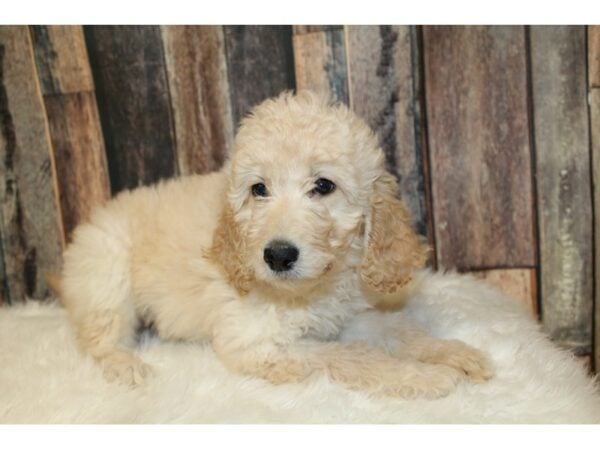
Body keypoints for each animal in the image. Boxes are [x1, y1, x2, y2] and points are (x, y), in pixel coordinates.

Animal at [58, 90, 492, 398]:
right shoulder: (258, 342)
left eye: (323, 186)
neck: (309, 290)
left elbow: (399, 330)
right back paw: (124, 364)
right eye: (259, 189)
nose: (278, 255)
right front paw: (425, 376)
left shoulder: (348, 316)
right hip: (105, 276)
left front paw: (456, 353)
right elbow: (350, 356)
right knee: (99, 337)